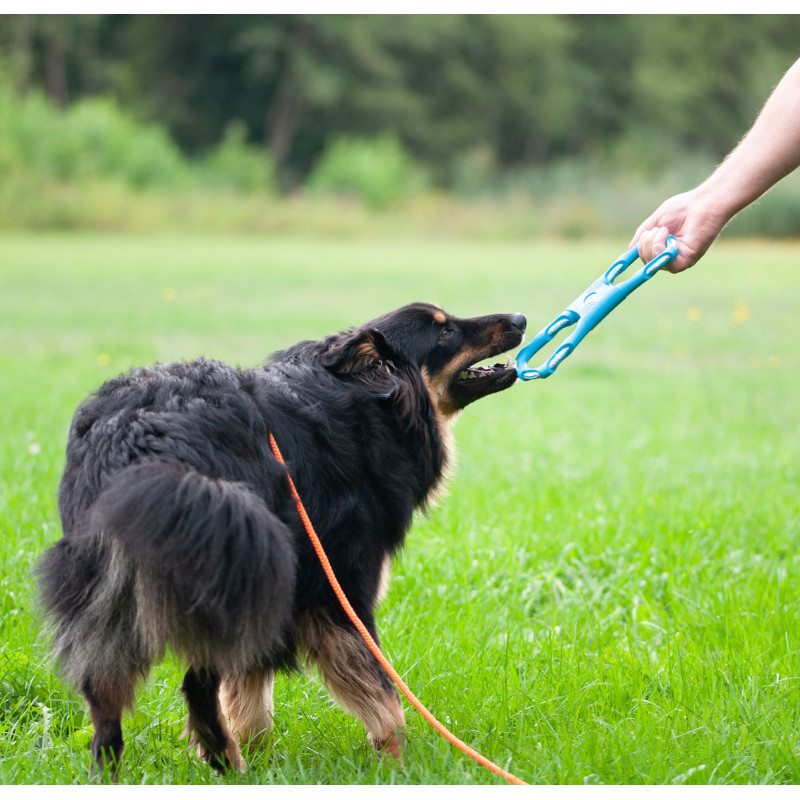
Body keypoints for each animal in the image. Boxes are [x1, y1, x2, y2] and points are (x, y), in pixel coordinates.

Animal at [36, 302, 524, 776]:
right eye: (444, 332)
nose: (519, 319)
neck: (369, 403)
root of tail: (141, 433)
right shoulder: (338, 590)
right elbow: (383, 694)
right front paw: (399, 764)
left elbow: (251, 704)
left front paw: (261, 762)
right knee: (196, 684)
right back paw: (225, 762)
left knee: (109, 705)